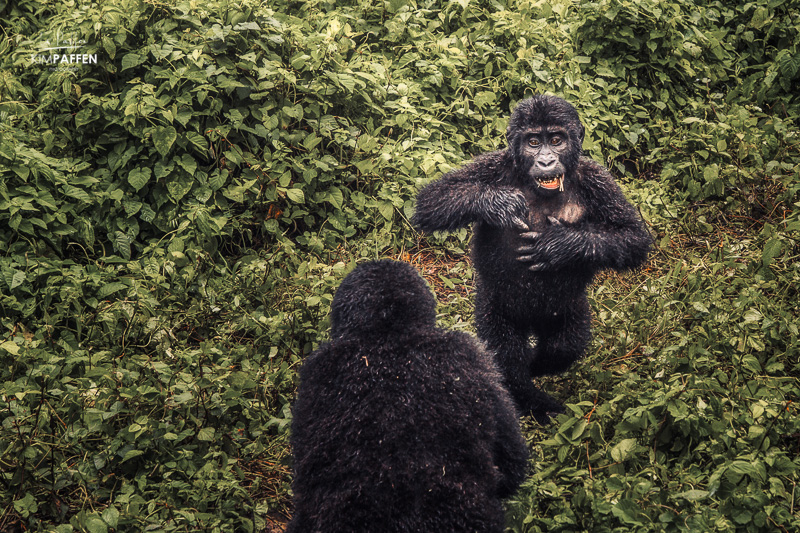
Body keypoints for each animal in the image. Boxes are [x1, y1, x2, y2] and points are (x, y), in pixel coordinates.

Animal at [412, 93, 648, 422]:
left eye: (557, 140)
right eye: (534, 142)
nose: (546, 160)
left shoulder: (599, 180)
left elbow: (632, 237)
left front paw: (560, 245)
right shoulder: (493, 165)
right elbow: (434, 199)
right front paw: (498, 204)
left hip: (569, 307)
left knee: (564, 346)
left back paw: (538, 366)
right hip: (492, 303)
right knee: (505, 353)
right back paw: (529, 395)